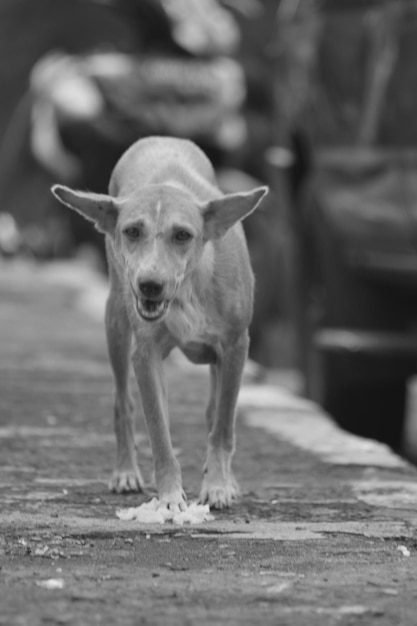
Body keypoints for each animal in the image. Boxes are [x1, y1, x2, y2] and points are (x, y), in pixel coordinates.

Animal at [52, 135, 268, 508]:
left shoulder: (236, 345)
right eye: (132, 231)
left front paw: (219, 484)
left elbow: (223, 423)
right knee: (123, 403)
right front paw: (169, 494)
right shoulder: (145, 356)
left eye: (183, 235)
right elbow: (159, 433)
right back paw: (125, 471)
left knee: (214, 413)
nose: (149, 285)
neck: (188, 291)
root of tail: (161, 138)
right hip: (115, 323)